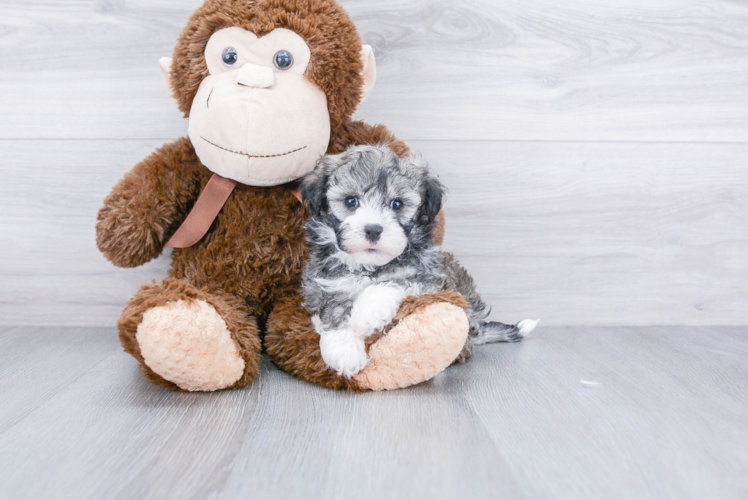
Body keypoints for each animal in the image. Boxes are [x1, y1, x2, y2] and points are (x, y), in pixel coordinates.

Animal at [300, 145, 536, 378]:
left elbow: (391, 282)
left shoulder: (429, 276)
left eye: (397, 204)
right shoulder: (324, 283)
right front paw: (344, 350)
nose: (373, 229)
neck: (371, 266)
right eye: (351, 201)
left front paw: (366, 314)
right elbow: (333, 306)